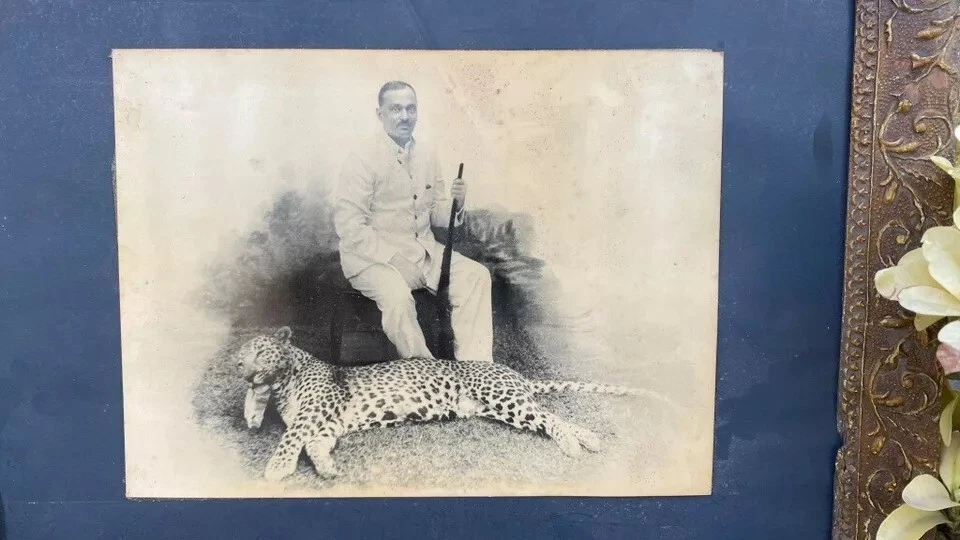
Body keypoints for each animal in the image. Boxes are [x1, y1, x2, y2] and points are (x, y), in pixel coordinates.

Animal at [235, 326, 658, 481]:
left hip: (503, 397)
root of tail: (512, 372)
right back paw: (588, 439)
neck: (282, 382)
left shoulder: (314, 411)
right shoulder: (326, 423)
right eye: (240, 356)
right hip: (502, 409)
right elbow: (313, 444)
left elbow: (291, 438)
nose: (240, 368)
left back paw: (575, 444)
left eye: (259, 351)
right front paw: (325, 468)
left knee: (551, 417)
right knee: (550, 416)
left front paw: (277, 467)